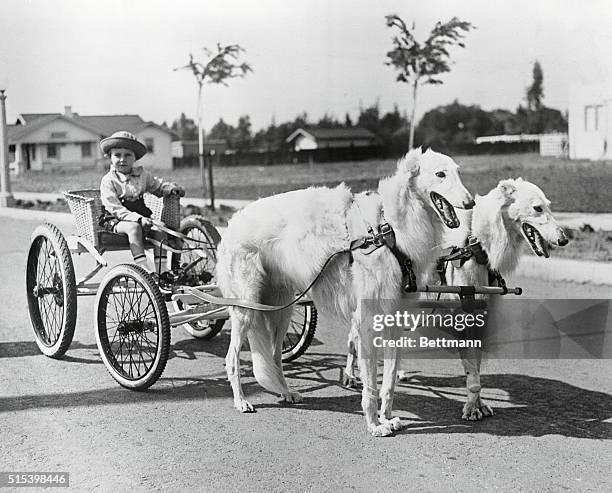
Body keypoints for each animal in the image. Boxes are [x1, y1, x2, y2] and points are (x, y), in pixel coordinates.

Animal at [215, 147, 474, 434]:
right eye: (440, 174)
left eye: (458, 172)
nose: (471, 203)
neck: (390, 228)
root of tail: (231, 224)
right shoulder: (366, 320)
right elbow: (371, 383)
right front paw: (374, 425)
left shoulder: (393, 317)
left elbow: (390, 380)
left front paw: (387, 417)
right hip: (246, 308)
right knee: (232, 358)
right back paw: (241, 400)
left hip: (279, 309)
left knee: (274, 357)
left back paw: (287, 392)